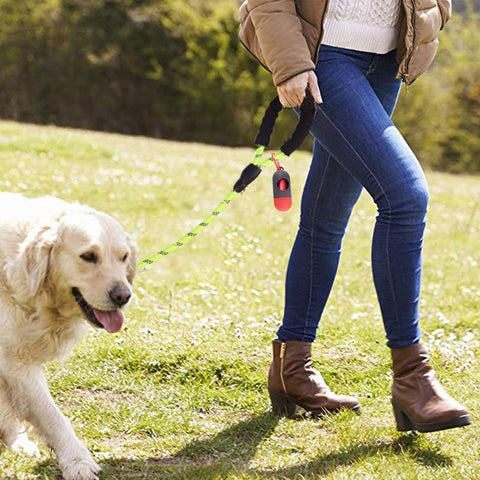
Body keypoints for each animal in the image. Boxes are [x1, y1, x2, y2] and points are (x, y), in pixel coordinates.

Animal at [0, 193, 137, 478]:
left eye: (123, 257)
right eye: (88, 256)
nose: (123, 296)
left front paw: (17, 442)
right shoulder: (16, 362)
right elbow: (52, 416)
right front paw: (77, 461)